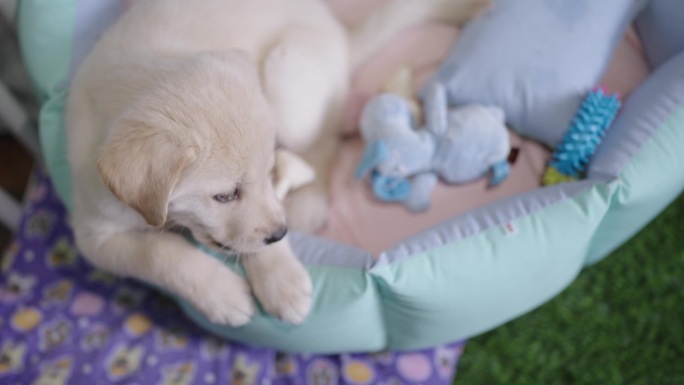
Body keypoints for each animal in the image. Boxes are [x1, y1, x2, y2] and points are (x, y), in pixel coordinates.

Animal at [67, 0, 488, 324]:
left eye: (268, 172)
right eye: (225, 195)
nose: (281, 235)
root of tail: (338, 31)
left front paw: (280, 279)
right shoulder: (94, 236)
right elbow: (157, 253)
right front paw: (222, 294)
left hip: (287, 87)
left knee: (324, 143)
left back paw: (309, 204)